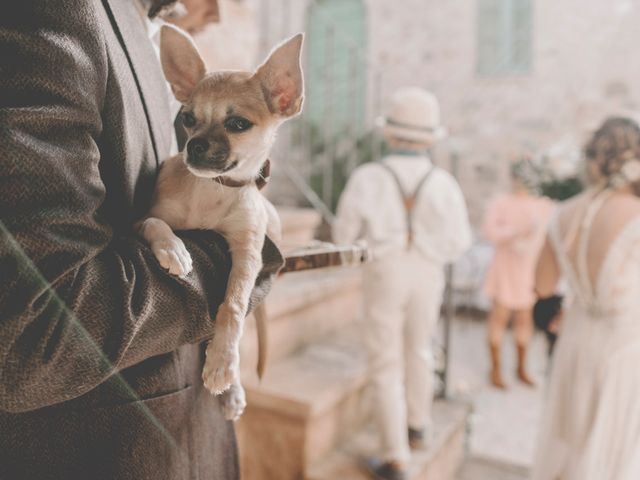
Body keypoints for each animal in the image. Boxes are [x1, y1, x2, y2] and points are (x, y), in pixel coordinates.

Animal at [139, 24, 304, 418]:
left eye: (237, 124)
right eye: (187, 119)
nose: (194, 145)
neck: (210, 190)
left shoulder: (249, 254)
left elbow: (234, 305)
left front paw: (222, 362)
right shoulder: (143, 218)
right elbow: (158, 225)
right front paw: (174, 250)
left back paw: (232, 388)